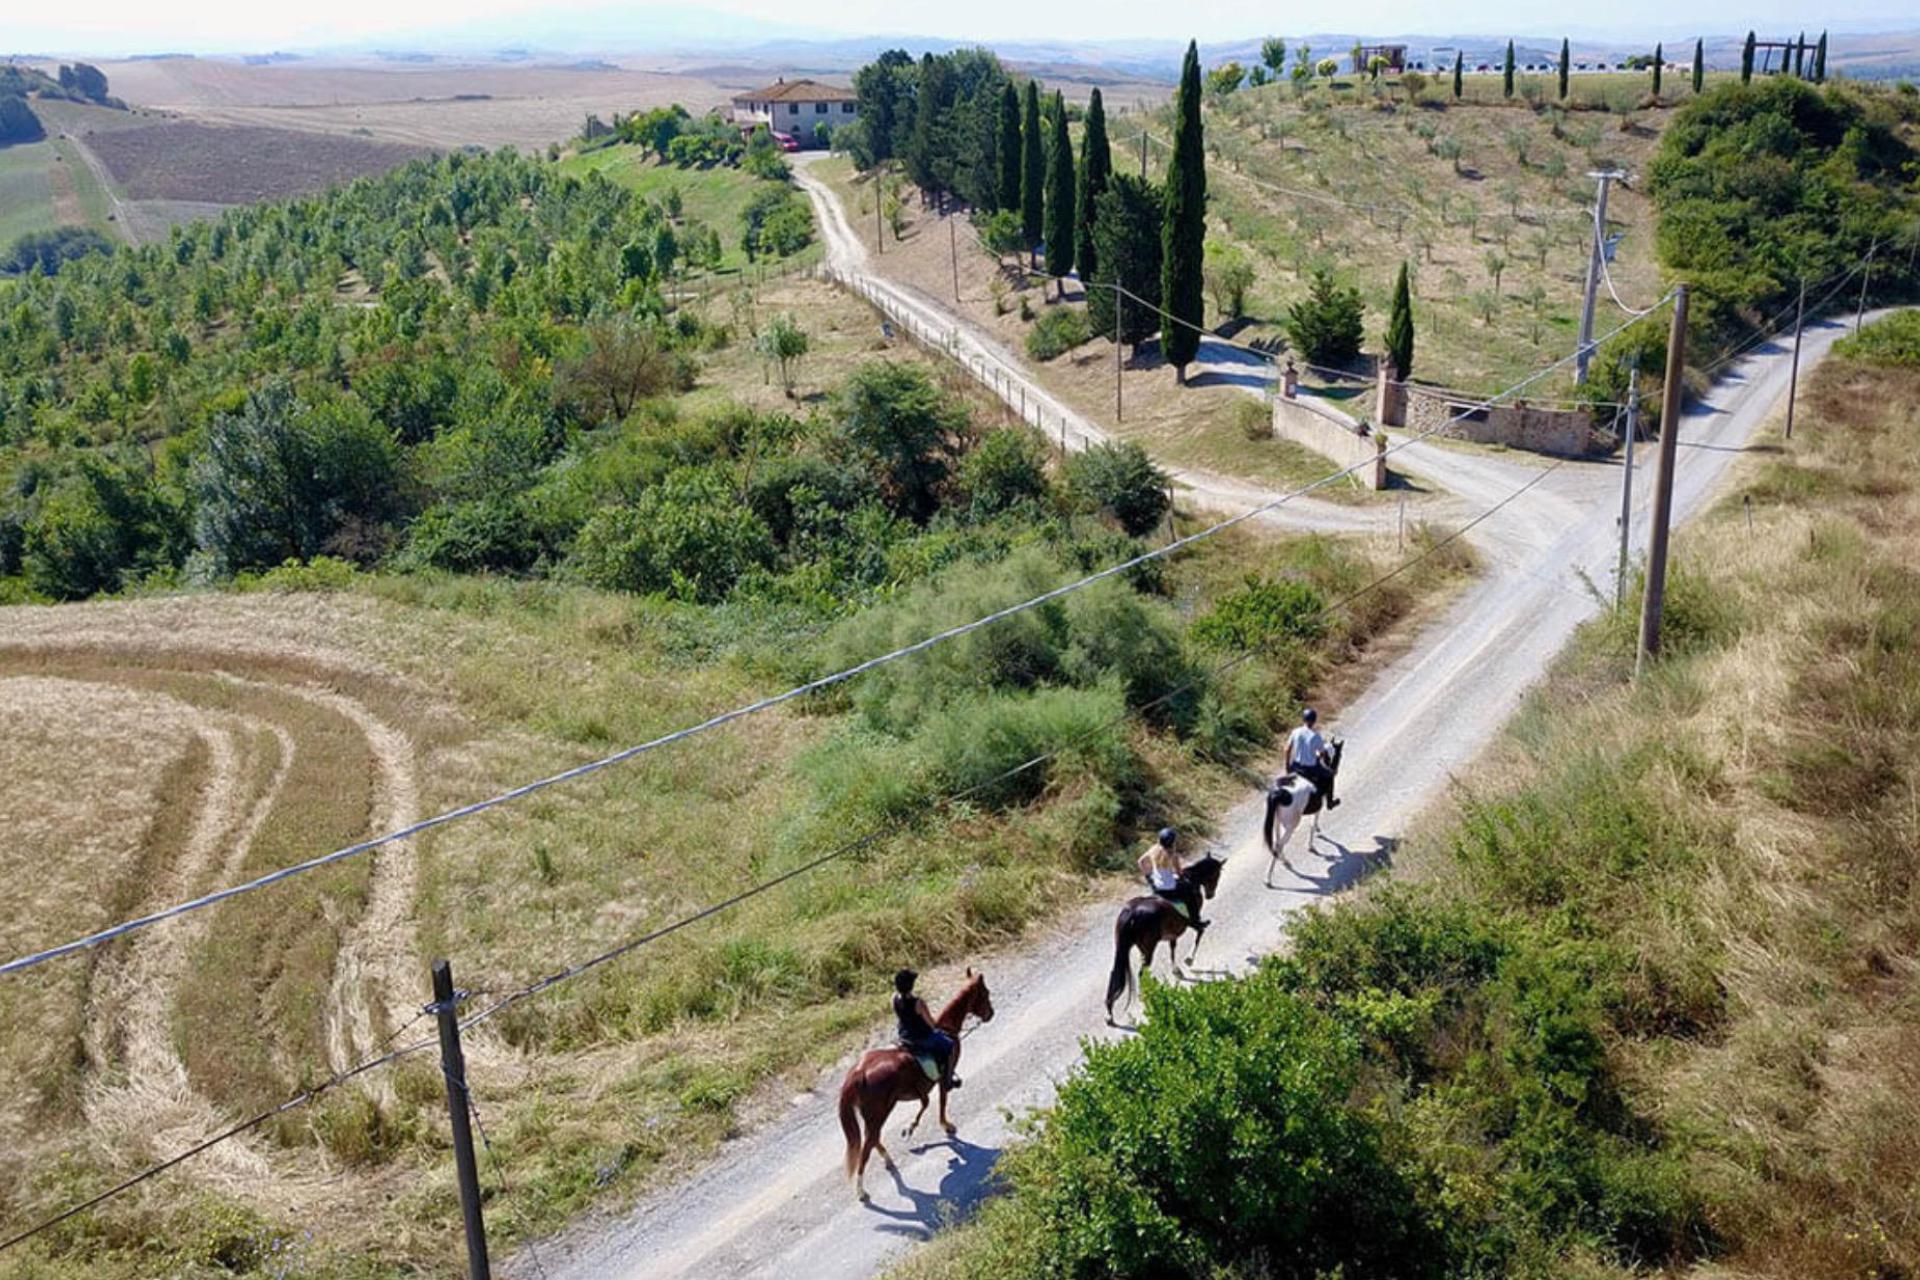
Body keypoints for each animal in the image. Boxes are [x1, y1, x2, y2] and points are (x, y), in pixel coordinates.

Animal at [837, 971, 998, 1205]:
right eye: (985, 993)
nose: (990, 1014)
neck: (947, 1029)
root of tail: (859, 1073)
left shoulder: (924, 1089)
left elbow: (926, 1104)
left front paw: (911, 1129)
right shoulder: (943, 1079)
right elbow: (941, 1103)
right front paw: (945, 1126)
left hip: (874, 1115)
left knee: (873, 1139)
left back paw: (888, 1161)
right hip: (879, 1113)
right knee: (867, 1147)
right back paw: (861, 1191)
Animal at [1105, 855, 1221, 1028]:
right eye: (1216, 875)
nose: (1210, 895)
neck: (1190, 881)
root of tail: (1131, 913)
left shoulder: (1173, 933)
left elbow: (1173, 948)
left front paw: (1177, 970)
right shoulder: (1192, 922)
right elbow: (1200, 933)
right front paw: (1189, 960)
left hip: (1124, 947)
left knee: (1116, 974)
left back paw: (1110, 1014)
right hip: (1148, 948)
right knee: (1141, 973)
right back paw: (1147, 995)